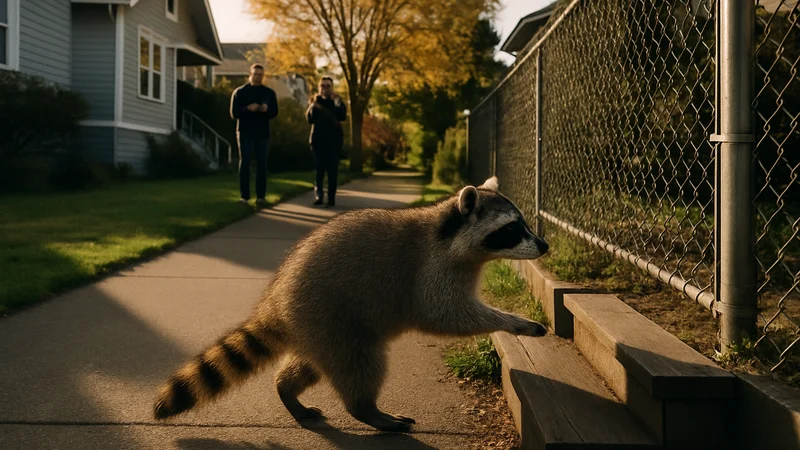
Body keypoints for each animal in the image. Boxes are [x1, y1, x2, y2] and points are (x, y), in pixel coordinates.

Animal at [153, 176, 549, 432]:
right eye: (511, 229)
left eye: (524, 224)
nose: (544, 245)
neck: (448, 234)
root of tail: (276, 302)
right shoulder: (431, 271)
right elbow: (445, 314)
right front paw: (511, 321)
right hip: (328, 316)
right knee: (360, 366)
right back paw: (367, 410)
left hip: (315, 329)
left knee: (310, 365)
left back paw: (287, 390)